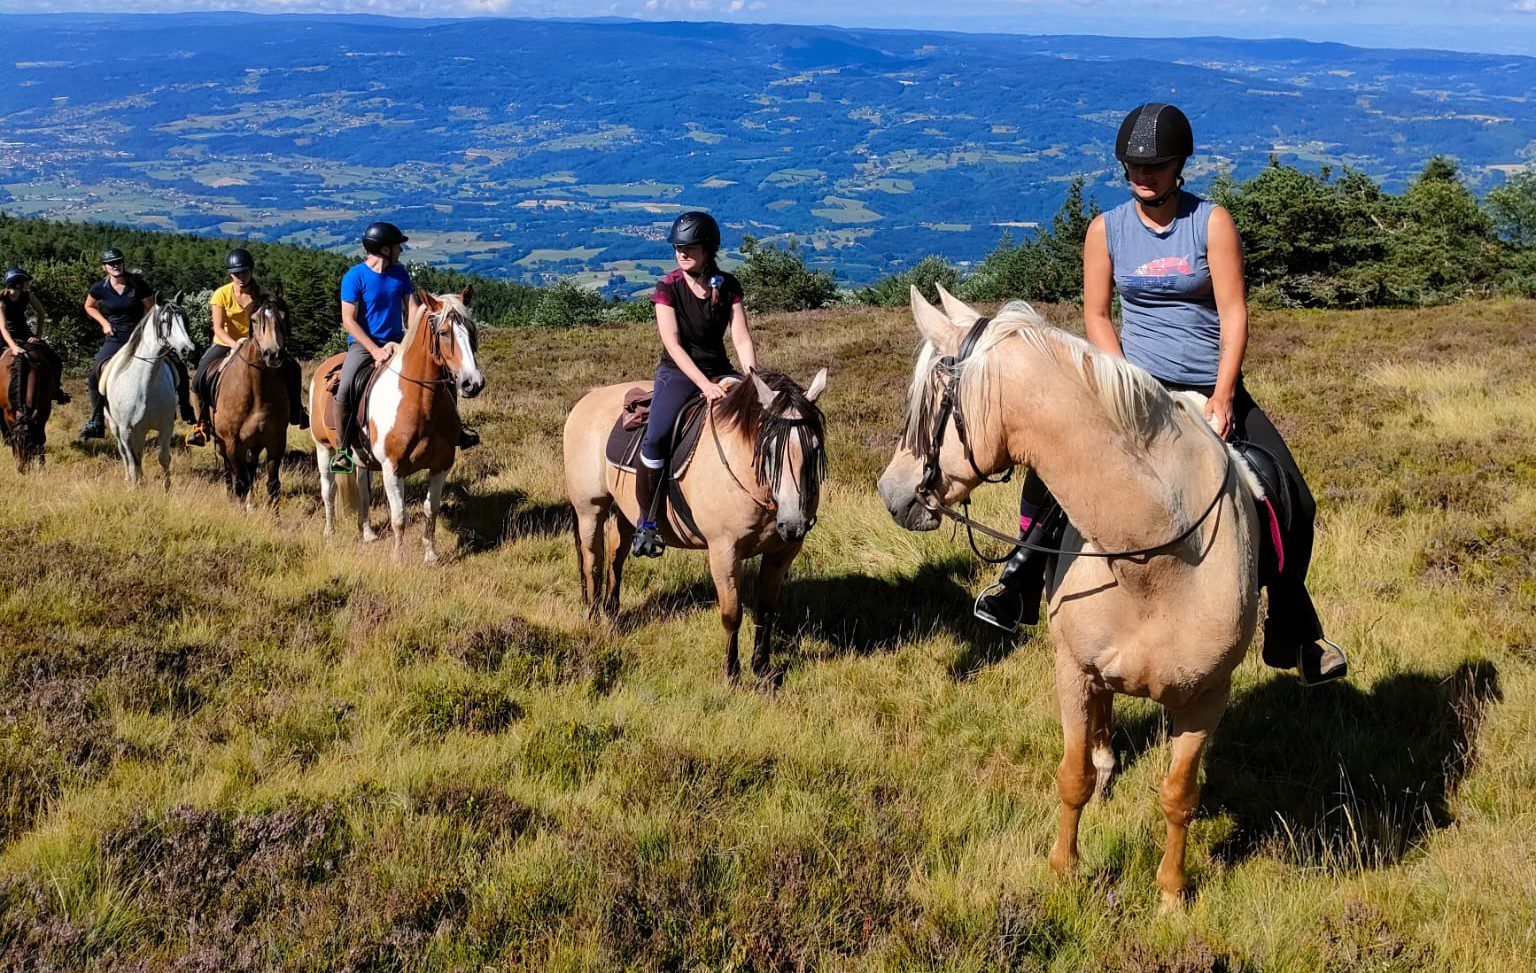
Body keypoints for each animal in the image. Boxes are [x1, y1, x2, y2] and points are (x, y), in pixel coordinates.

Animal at [100, 299, 196, 485]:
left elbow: (163, 458)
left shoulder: (166, 426)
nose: (187, 350)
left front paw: (167, 487)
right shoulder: (126, 430)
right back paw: (128, 478)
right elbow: (133, 461)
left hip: (141, 429)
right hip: (116, 427)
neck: (145, 383)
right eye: (165, 321)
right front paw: (135, 485)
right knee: (124, 454)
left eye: (185, 319)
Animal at [208, 288, 291, 507]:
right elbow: (241, 483)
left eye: (283, 317)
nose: (273, 354)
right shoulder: (233, 443)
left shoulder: (276, 441)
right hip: (223, 442)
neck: (257, 391)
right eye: (254, 320)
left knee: (251, 469)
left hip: (254, 443)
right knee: (231, 473)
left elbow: (272, 484)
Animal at [308, 285, 482, 562]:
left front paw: (430, 555)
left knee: (363, 491)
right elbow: (399, 516)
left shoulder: (441, 466)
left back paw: (367, 532)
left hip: (362, 459)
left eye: (472, 329)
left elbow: (431, 509)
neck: (419, 403)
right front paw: (399, 559)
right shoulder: (393, 469)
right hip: (323, 447)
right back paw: (330, 533)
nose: (472, 383)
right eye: (444, 332)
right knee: (328, 490)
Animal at [565, 367, 829, 679]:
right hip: (590, 508)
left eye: (814, 449)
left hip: (626, 511)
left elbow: (766, 609)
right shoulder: (724, 551)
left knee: (616, 558)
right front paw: (732, 673)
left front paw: (762, 669)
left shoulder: (782, 552)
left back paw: (611, 614)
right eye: (769, 450)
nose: (793, 525)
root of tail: (588, 398)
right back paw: (594, 618)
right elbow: (732, 613)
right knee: (593, 561)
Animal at [878, 284, 1259, 909]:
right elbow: (1073, 776)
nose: (891, 493)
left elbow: (1179, 796)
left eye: (929, 404)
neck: (1154, 554)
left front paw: (1172, 894)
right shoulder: (1073, 670)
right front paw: (1063, 871)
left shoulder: (1208, 697)